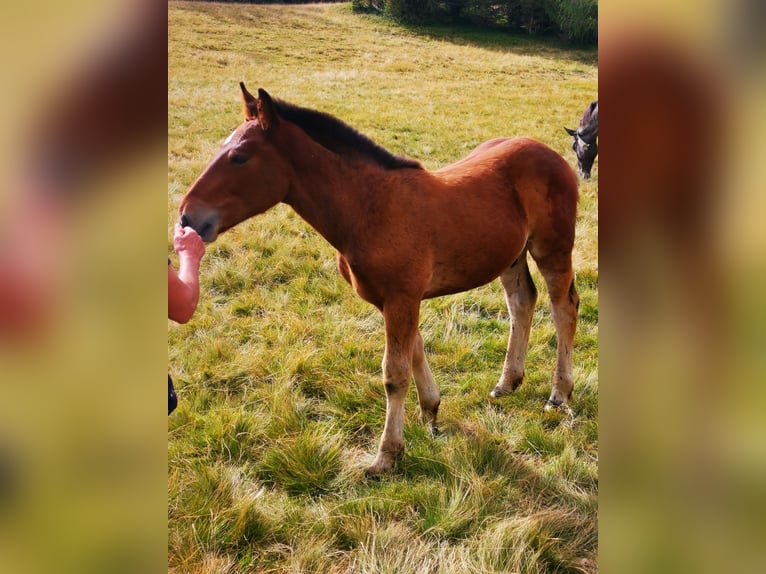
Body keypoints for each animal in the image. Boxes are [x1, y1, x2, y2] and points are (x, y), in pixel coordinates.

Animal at [177, 83, 580, 474]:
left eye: (240, 157)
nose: (186, 216)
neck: (369, 207)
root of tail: (554, 155)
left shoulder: (402, 298)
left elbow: (394, 373)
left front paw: (387, 455)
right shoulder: (395, 301)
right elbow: (415, 351)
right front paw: (431, 413)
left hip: (552, 250)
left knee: (564, 308)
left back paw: (559, 395)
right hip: (511, 256)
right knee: (522, 303)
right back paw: (507, 383)